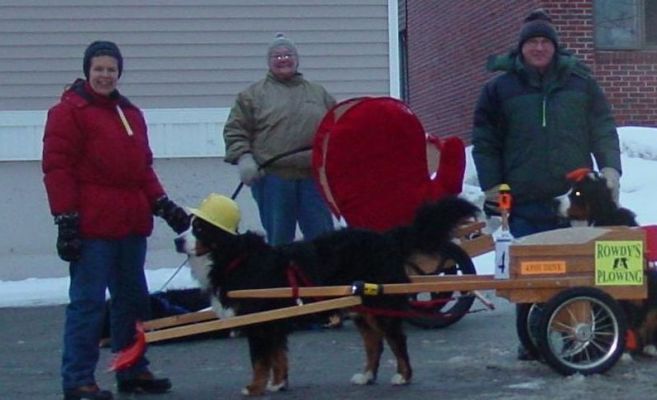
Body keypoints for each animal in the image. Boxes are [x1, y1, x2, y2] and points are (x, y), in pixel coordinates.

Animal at [174, 195, 476, 396]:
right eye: (185, 225)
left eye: (199, 229)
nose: (177, 241)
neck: (233, 258)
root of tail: (384, 237)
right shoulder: (274, 321)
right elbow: (278, 357)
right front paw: (278, 383)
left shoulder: (259, 321)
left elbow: (260, 360)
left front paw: (254, 387)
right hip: (361, 307)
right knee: (374, 343)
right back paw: (366, 376)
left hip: (378, 302)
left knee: (395, 340)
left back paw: (403, 376)